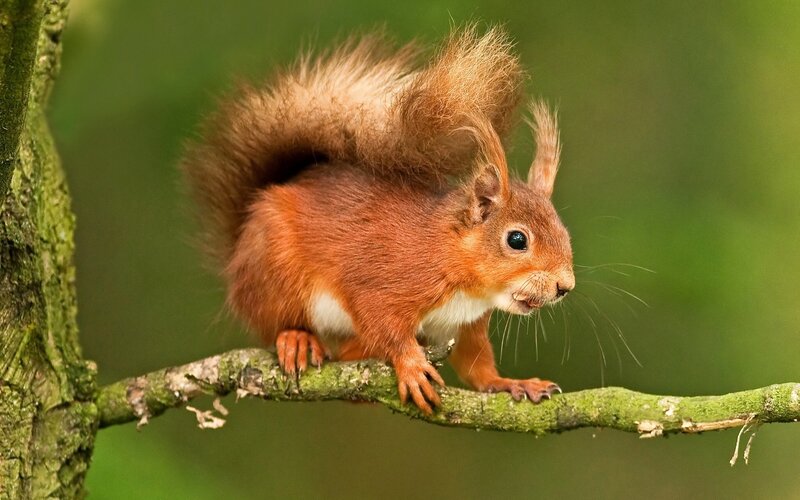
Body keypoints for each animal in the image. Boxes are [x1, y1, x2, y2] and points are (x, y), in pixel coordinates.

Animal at [182, 26, 575, 414]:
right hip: (275, 272)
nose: (564, 286)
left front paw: (512, 383)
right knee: (278, 323)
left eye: (565, 234)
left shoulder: (463, 325)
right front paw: (411, 365)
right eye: (517, 240)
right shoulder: (385, 281)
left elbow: (477, 367)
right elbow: (383, 323)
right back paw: (297, 338)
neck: (454, 262)